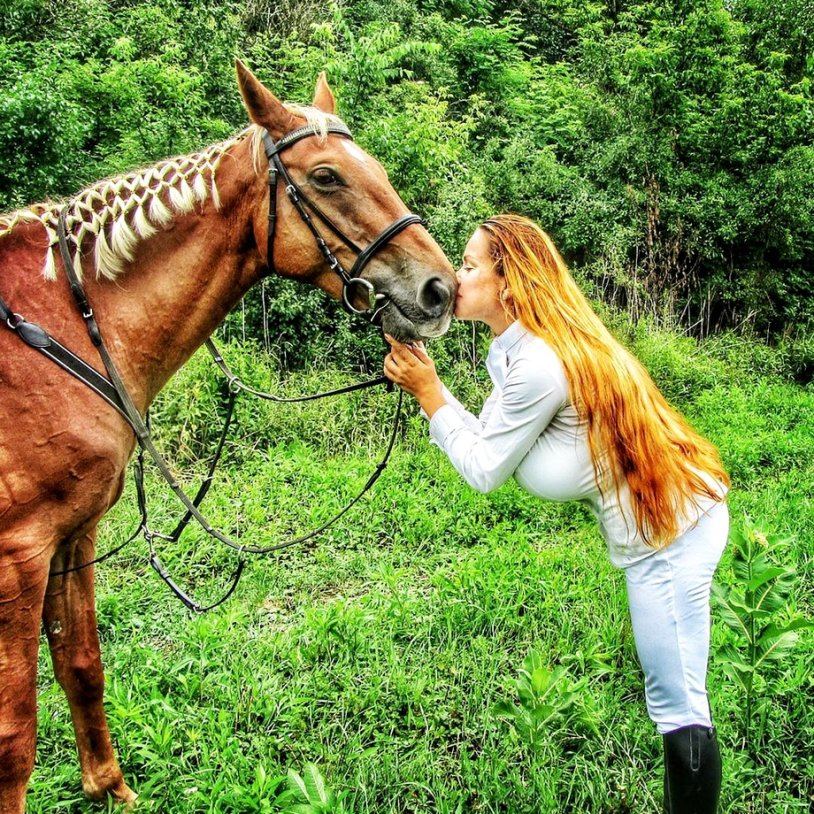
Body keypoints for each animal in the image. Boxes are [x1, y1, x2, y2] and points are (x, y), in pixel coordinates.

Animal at [0, 60, 456, 812]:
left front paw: (112, 790)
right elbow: (15, 737)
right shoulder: (19, 552)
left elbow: (82, 665)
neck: (70, 321)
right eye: (326, 176)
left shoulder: (72, 533)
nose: (440, 290)